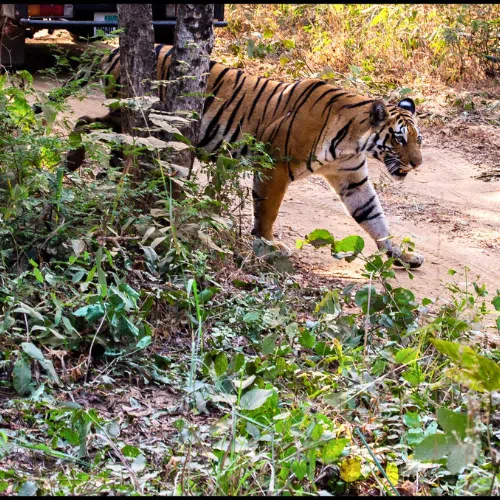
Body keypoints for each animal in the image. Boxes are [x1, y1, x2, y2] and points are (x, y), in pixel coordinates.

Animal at [51, 44, 426, 270]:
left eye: (418, 139)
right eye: (398, 139)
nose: (417, 164)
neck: (354, 142)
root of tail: (116, 49)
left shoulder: (352, 178)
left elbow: (374, 218)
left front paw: (401, 254)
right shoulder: (276, 165)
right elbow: (268, 210)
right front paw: (268, 245)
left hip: (128, 121)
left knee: (100, 134)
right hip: (135, 117)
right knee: (87, 124)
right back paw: (73, 162)